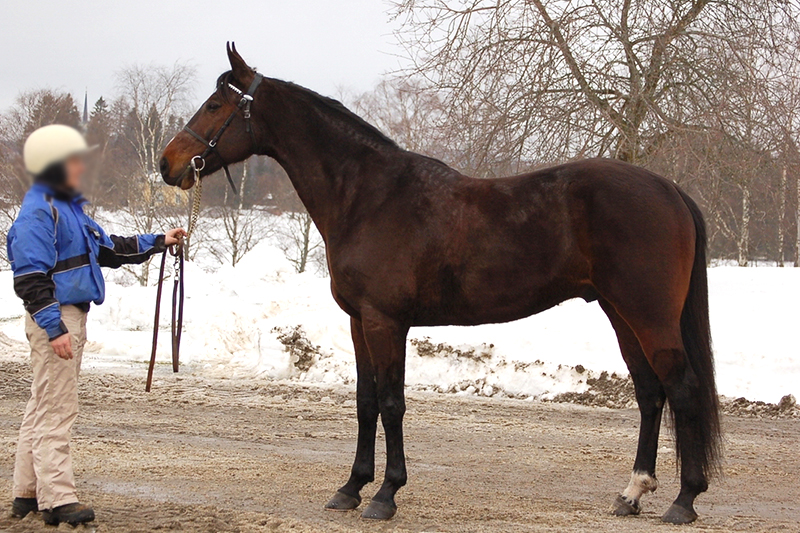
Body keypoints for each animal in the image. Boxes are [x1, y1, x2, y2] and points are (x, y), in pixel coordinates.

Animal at [160, 43, 720, 524]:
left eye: (215, 105)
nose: (168, 164)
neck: (368, 196)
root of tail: (669, 189)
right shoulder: (359, 322)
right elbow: (365, 401)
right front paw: (350, 488)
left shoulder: (386, 322)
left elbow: (391, 403)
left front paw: (385, 494)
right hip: (620, 312)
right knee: (650, 392)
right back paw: (632, 493)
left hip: (648, 314)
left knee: (682, 387)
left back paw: (684, 500)